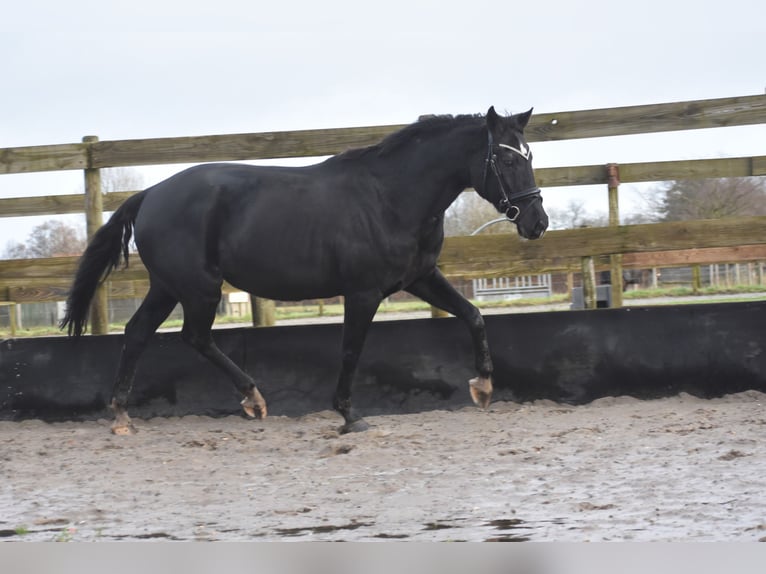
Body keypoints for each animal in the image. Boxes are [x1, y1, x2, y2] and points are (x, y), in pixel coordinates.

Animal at [63, 104, 548, 436]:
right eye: (507, 160)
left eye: (529, 156)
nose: (537, 222)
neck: (390, 197)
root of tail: (150, 194)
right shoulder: (363, 292)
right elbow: (351, 350)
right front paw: (349, 416)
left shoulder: (420, 278)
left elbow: (474, 315)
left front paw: (483, 387)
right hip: (198, 288)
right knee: (194, 337)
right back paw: (253, 399)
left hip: (168, 286)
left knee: (138, 333)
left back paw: (123, 416)